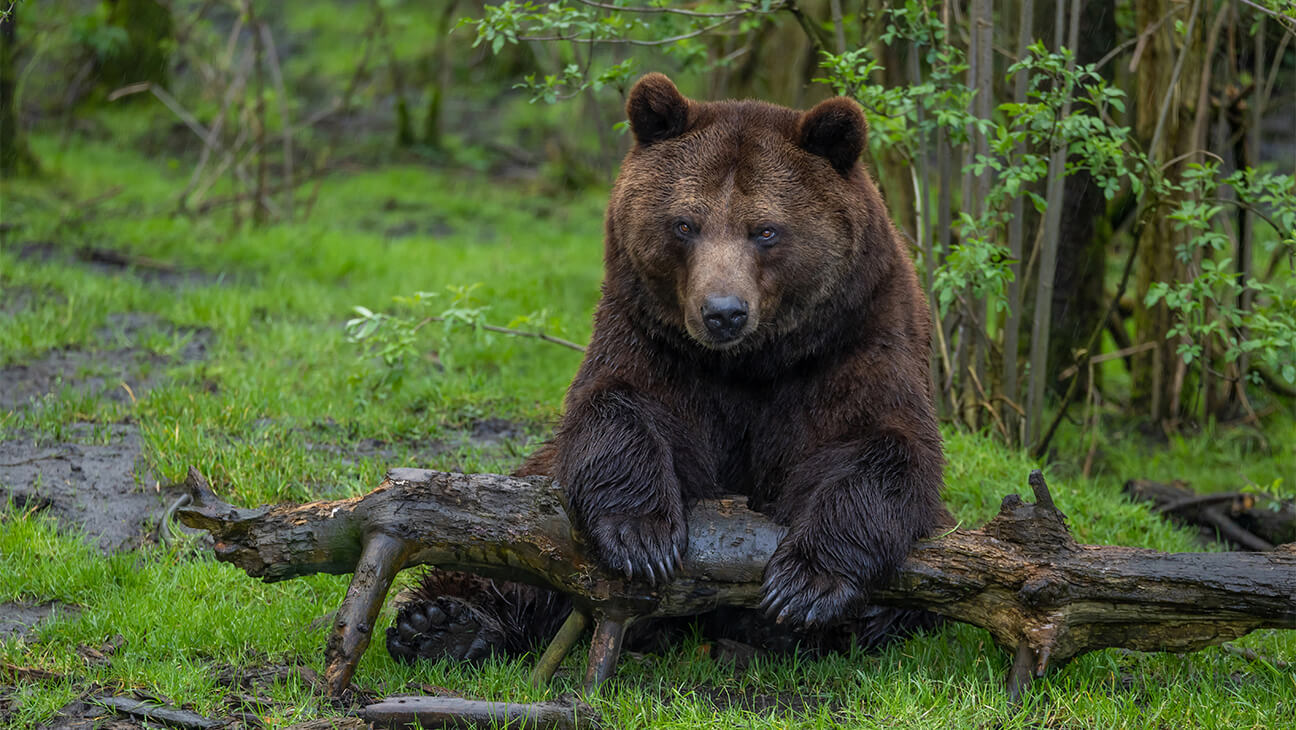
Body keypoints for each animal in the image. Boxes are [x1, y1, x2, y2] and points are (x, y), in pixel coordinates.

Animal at [386, 72, 953, 663]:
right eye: (685, 224)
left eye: (765, 230)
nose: (723, 312)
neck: (751, 362)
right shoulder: (652, 338)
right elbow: (617, 409)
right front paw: (643, 536)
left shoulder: (853, 341)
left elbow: (883, 446)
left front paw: (806, 583)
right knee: (516, 539)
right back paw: (441, 622)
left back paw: (849, 620)